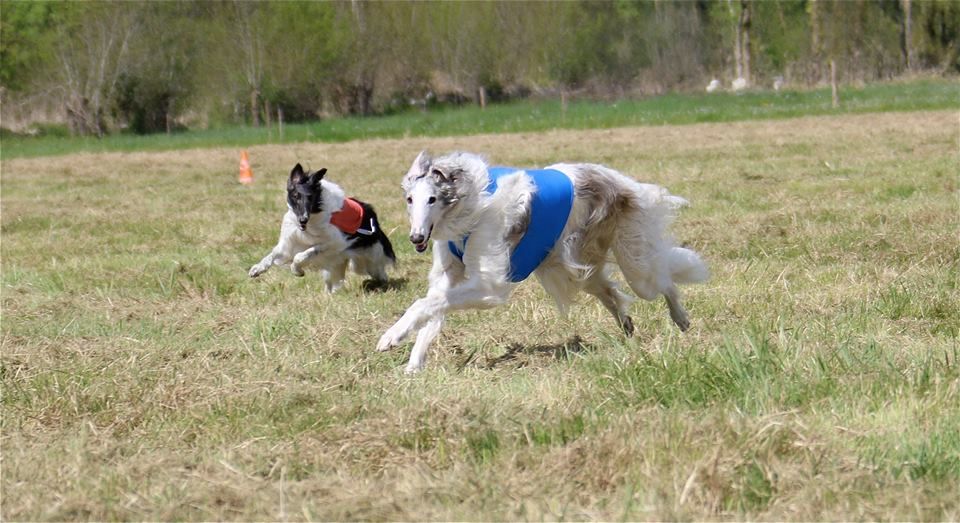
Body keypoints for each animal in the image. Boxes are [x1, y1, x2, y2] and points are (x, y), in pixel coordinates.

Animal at [251, 165, 398, 290]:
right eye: (296, 196)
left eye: (310, 197)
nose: (303, 219)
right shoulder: (291, 240)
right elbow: (273, 254)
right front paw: (257, 269)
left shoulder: (334, 242)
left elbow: (301, 255)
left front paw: (297, 270)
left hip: (367, 259)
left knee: (380, 273)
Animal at [378, 150, 708, 372]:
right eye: (410, 199)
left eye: (432, 199)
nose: (416, 238)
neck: (471, 205)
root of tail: (628, 183)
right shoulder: (448, 274)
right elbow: (432, 309)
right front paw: (412, 365)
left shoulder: (489, 286)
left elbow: (424, 304)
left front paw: (390, 337)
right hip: (580, 269)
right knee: (613, 294)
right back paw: (626, 327)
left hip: (636, 264)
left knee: (664, 280)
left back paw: (681, 318)